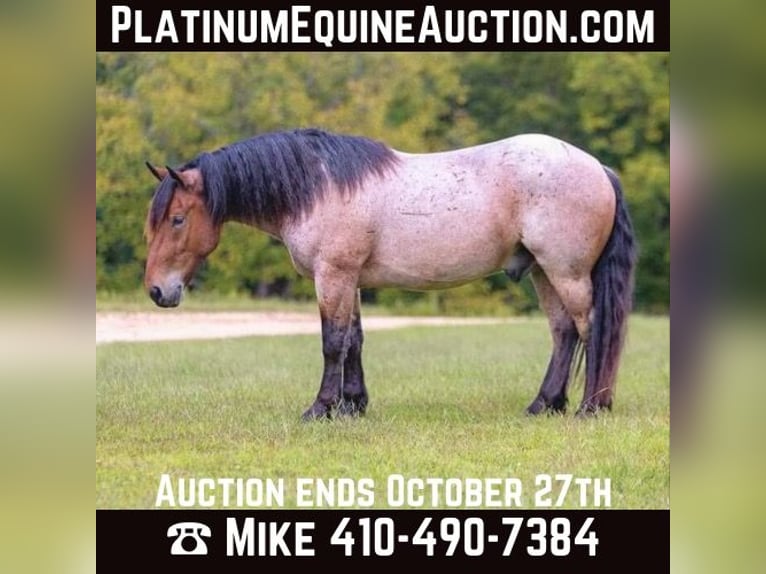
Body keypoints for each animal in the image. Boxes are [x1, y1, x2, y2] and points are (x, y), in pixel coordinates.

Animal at [143, 128, 636, 420]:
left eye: (177, 220)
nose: (157, 291)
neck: (318, 188)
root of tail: (598, 167)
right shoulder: (351, 280)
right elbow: (354, 340)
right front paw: (353, 406)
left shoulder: (333, 276)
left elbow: (332, 342)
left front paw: (321, 408)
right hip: (543, 273)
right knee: (563, 333)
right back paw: (544, 404)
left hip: (566, 272)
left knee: (591, 328)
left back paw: (591, 407)